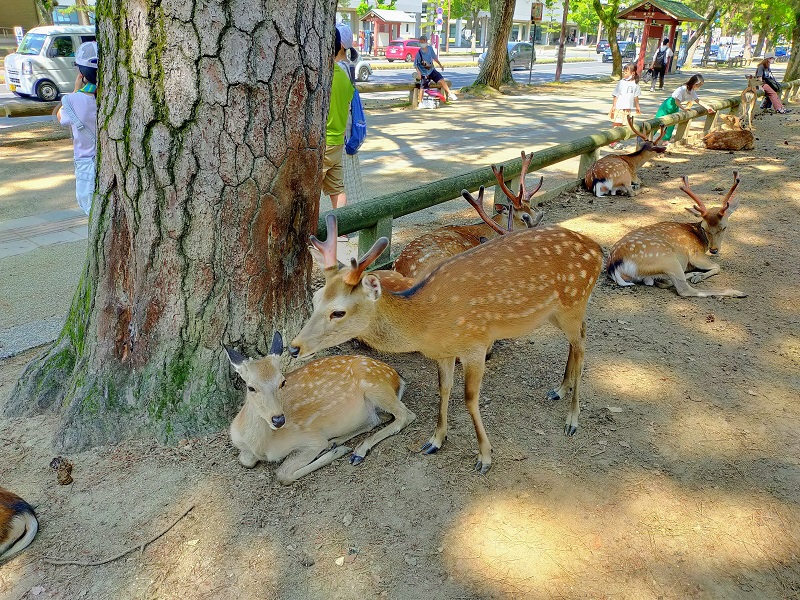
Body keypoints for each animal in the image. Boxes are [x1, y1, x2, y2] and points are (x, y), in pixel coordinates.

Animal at [223, 330, 412, 486]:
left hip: (375, 386)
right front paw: (335, 447)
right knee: (378, 419)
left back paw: (356, 451)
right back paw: (336, 442)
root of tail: (397, 377)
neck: (262, 446)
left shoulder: (311, 438)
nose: (278, 419)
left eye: (282, 382)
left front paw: (338, 451)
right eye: (251, 387)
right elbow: (245, 461)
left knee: (406, 415)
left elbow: (283, 474)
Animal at [288, 211, 600, 474]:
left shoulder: (476, 343)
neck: (427, 323)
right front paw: (434, 441)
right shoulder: (444, 352)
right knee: (579, 339)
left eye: (338, 311)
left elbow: (470, 398)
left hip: (574, 301)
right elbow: (444, 390)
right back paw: (559, 389)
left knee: (583, 344)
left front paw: (484, 457)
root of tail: (597, 249)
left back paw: (572, 420)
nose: (293, 347)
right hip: (556, 312)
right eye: (315, 299)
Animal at [608, 171, 748, 298]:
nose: (714, 250)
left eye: (724, 227)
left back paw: (692, 275)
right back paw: (737, 292)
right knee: (684, 289)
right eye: (705, 228)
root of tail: (614, 267)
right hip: (668, 259)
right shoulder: (695, 255)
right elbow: (718, 266)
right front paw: (700, 276)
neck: (701, 240)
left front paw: (697, 275)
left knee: (660, 281)